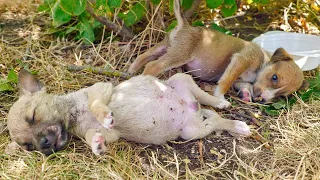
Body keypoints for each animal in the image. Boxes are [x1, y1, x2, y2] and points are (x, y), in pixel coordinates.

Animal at [5, 69, 250, 155]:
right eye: (28, 146)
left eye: (33, 116)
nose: (44, 145)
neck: (74, 115)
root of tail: (189, 107)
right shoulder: (111, 135)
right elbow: (92, 135)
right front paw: (96, 144)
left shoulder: (100, 89)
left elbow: (96, 104)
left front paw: (105, 115)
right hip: (192, 131)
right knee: (216, 121)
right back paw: (235, 125)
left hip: (180, 79)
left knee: (208, 102)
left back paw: (221, 105)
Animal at [128, 0, 304, 103]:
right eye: (275, 77)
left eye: (282, 95)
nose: (262, 100)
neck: (264, 59)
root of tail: (185, 25)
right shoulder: (240, 60)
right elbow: (225, 83)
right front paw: (220, 97)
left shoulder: (241, 79)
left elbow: (243, 85)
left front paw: (246, 94)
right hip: (180, 55)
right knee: (153, 65)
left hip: (166, 46)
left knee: (144, 56)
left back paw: (131, 70)